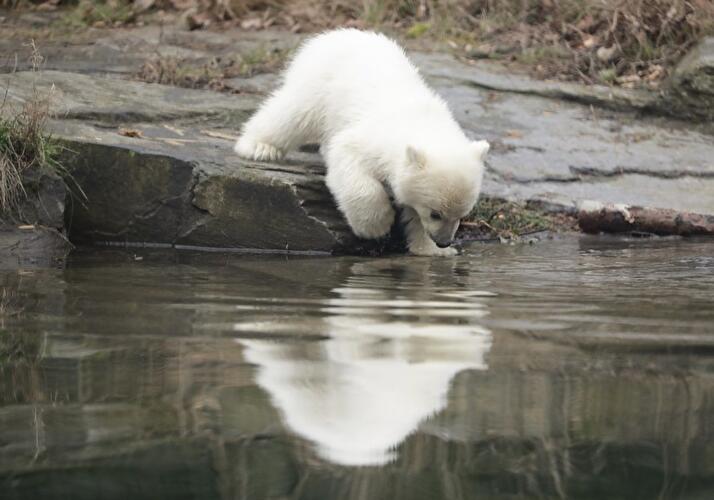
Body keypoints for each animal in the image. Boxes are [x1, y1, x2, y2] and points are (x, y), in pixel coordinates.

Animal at [234, 29, 489, 256]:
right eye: (435, 213)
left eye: (462, 215)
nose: (444, 242)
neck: (421, 120)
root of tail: (334, 34)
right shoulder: (372, 139)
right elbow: (349, 159)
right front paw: (376, 226)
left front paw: (432, 252)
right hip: (319, 84)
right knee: (293, 113)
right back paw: (259, 147)